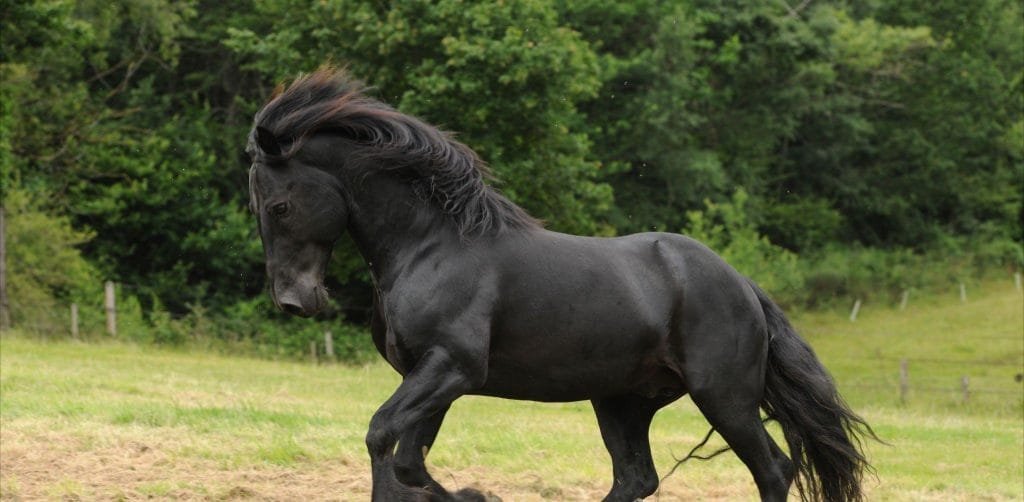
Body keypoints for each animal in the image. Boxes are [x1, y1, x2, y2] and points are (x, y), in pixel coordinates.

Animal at [246, 68, 874, 502]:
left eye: (279, 206)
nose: (295, 301)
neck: (431, 246)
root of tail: (742, 284)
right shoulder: (427, 376)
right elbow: (408, 458)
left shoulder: (452, 367)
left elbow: (385, 441)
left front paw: (476, 494)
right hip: (623, 400)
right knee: (636, 478)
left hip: (725, 396)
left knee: (773, 468)